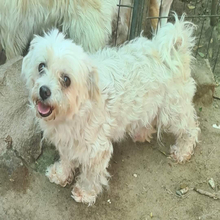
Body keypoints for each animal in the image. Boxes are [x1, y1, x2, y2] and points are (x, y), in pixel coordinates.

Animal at [21, 14, 200, 205]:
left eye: (66, 79)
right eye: (41, 66)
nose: (44, 91)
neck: (75, 110)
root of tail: (174, 51)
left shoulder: (96, 149)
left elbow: (91, 174)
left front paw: (85, 192)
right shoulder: (67, 141)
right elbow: (66, 158)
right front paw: (61, 174)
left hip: (173, 111)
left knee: (191, 128)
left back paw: (182, 151)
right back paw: (141, 133)